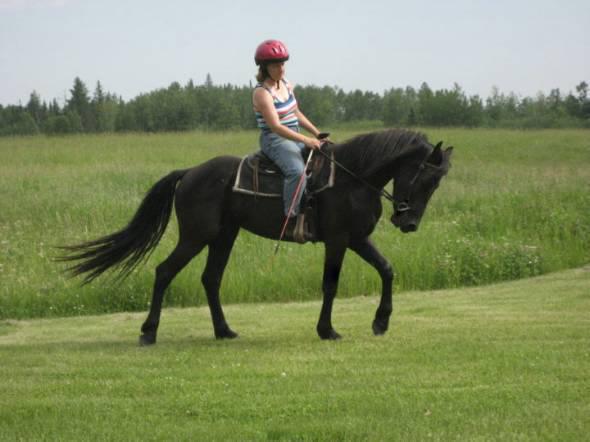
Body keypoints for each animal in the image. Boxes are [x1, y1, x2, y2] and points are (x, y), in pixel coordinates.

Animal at [59, 129, 454, 344]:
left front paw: (380, 322)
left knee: (210, 278)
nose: (409, 222)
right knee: (165, 272)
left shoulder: (357, 238)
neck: (351, 178)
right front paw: (327, 330)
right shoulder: (339, 240)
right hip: (196, 237)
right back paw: (149, 332)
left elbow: (386, 269)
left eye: (438, 183)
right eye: (424, 177)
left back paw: (224, 330)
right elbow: (331, 284)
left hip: (223, 236)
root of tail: (190, 172)